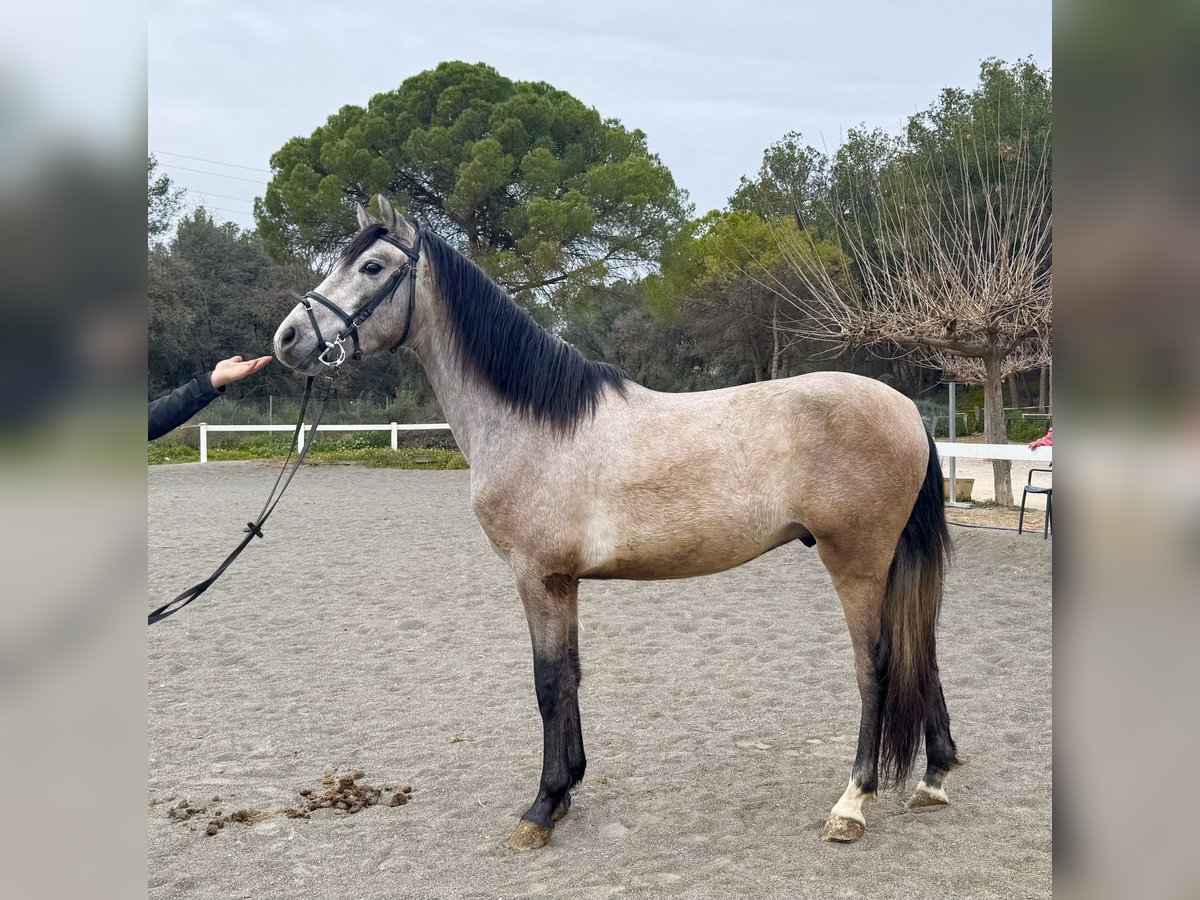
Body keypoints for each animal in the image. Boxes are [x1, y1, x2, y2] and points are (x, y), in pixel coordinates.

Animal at [270, 195, 955, 854]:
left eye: (372, 267)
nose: (288, 338)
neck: (535, 422)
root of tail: (906, 409)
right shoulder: (563, 581)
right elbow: (570, 675)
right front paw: (566, 789)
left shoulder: (537, 577)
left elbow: (548, 683)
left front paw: (541, 809)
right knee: (920, 652)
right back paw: (934, 778)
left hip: (856, 562)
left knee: (877, 666)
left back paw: (852, 804)